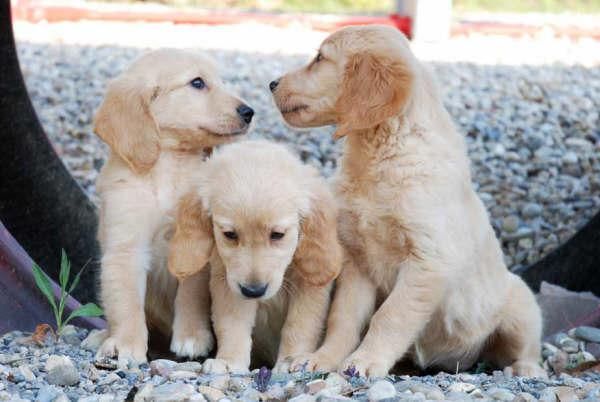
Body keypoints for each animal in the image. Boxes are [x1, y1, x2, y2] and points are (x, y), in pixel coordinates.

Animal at [93, 48, 253, 364]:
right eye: (197, 83)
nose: (249, 112)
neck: (168, 164)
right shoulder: (126, 246)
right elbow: (126, 300)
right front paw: (127, 343)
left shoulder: (194, 245)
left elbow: (191, 294)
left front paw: (192, 336)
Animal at [169, 141, 342, 374]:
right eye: (230, 234)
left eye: (277, 235)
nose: (254, 291)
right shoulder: (229, 281)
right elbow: (232, 323)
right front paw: (230, 361)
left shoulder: (310, 284)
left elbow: (301, 325)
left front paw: (290, 360)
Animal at [270, 26, 548, 378]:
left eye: (320, 58)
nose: (272, 83)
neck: (383, 155)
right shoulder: (358, 260)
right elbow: (343, 317)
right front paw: (324, 358)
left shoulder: (428, 261)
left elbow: (389, 316)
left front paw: (365, 361)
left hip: (520, 303)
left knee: (527, 348)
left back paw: (525, 369)